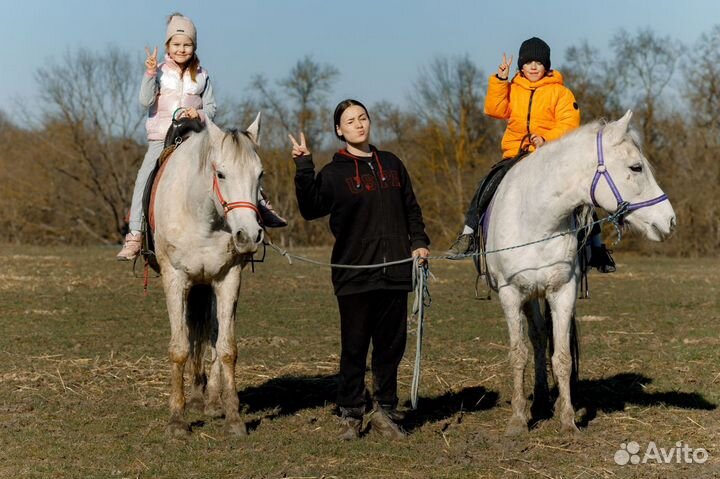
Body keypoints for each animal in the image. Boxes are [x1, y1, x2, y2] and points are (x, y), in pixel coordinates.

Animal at [484, 111, 676, 436]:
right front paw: (518, 420)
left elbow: (562, 357)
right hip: (528, 296)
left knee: (542, 340)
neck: (536, 221)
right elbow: (518, 354)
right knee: (536, 339)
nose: (670, 220)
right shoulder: (511, 294)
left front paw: (568, 421)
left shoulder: (563, 291)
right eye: (636, 167)